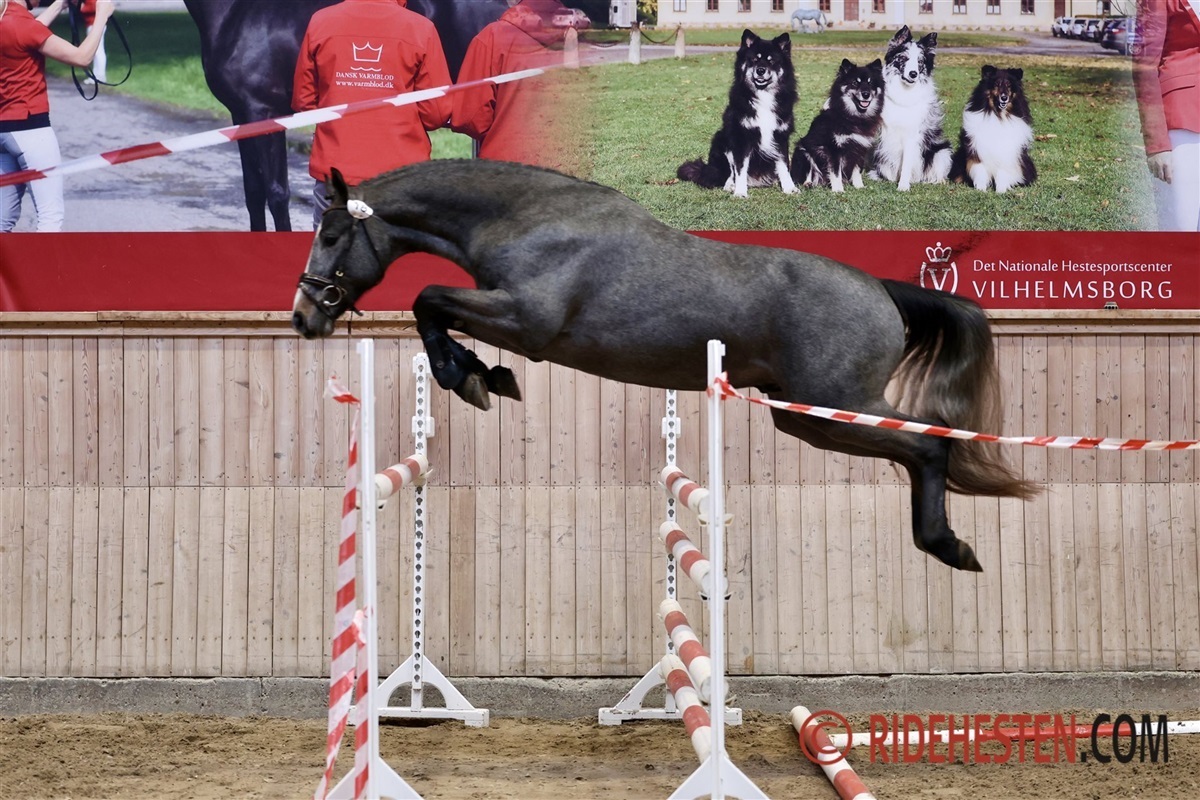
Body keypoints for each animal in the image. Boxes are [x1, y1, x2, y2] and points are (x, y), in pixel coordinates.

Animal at [291, 160, 1037, 573]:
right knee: (918, 448)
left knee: (929, 444)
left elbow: (428, 300)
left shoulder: (526, 322)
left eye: (333, 234)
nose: (305, 317)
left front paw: (475, 377)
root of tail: (881, 288)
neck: (530, 218)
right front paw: (479, 374)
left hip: (835, 406)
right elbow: (432, 308)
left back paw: (948, 546)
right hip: (807, 418)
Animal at [677, 30, 797, 198]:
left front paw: (789, 188)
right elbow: (740, 169)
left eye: (771, 61)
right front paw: (740, 192)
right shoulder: (741, 138)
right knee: (730, 172)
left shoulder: (780, 136)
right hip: (721, 140)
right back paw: (730, 185)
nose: (760, 70)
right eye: (754, 59)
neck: (763, 95)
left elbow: (784, 164)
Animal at [791, 58, 884, 192]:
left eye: (870, 83)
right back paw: (808, 183)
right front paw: (838, 190)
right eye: (855, 83)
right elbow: (835, 173)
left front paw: (859, 186)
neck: (853, 117)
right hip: (803, 151)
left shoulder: (860, 147)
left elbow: (857, 171)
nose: (866, 94)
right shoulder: (833, 149)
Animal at [872, 26, 953, 192]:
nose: (913, 74)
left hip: (942, 151)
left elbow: (906, 164)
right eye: (904, 58)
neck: (904, 93)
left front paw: (903, 185)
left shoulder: (912, 135)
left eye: (920, 61)